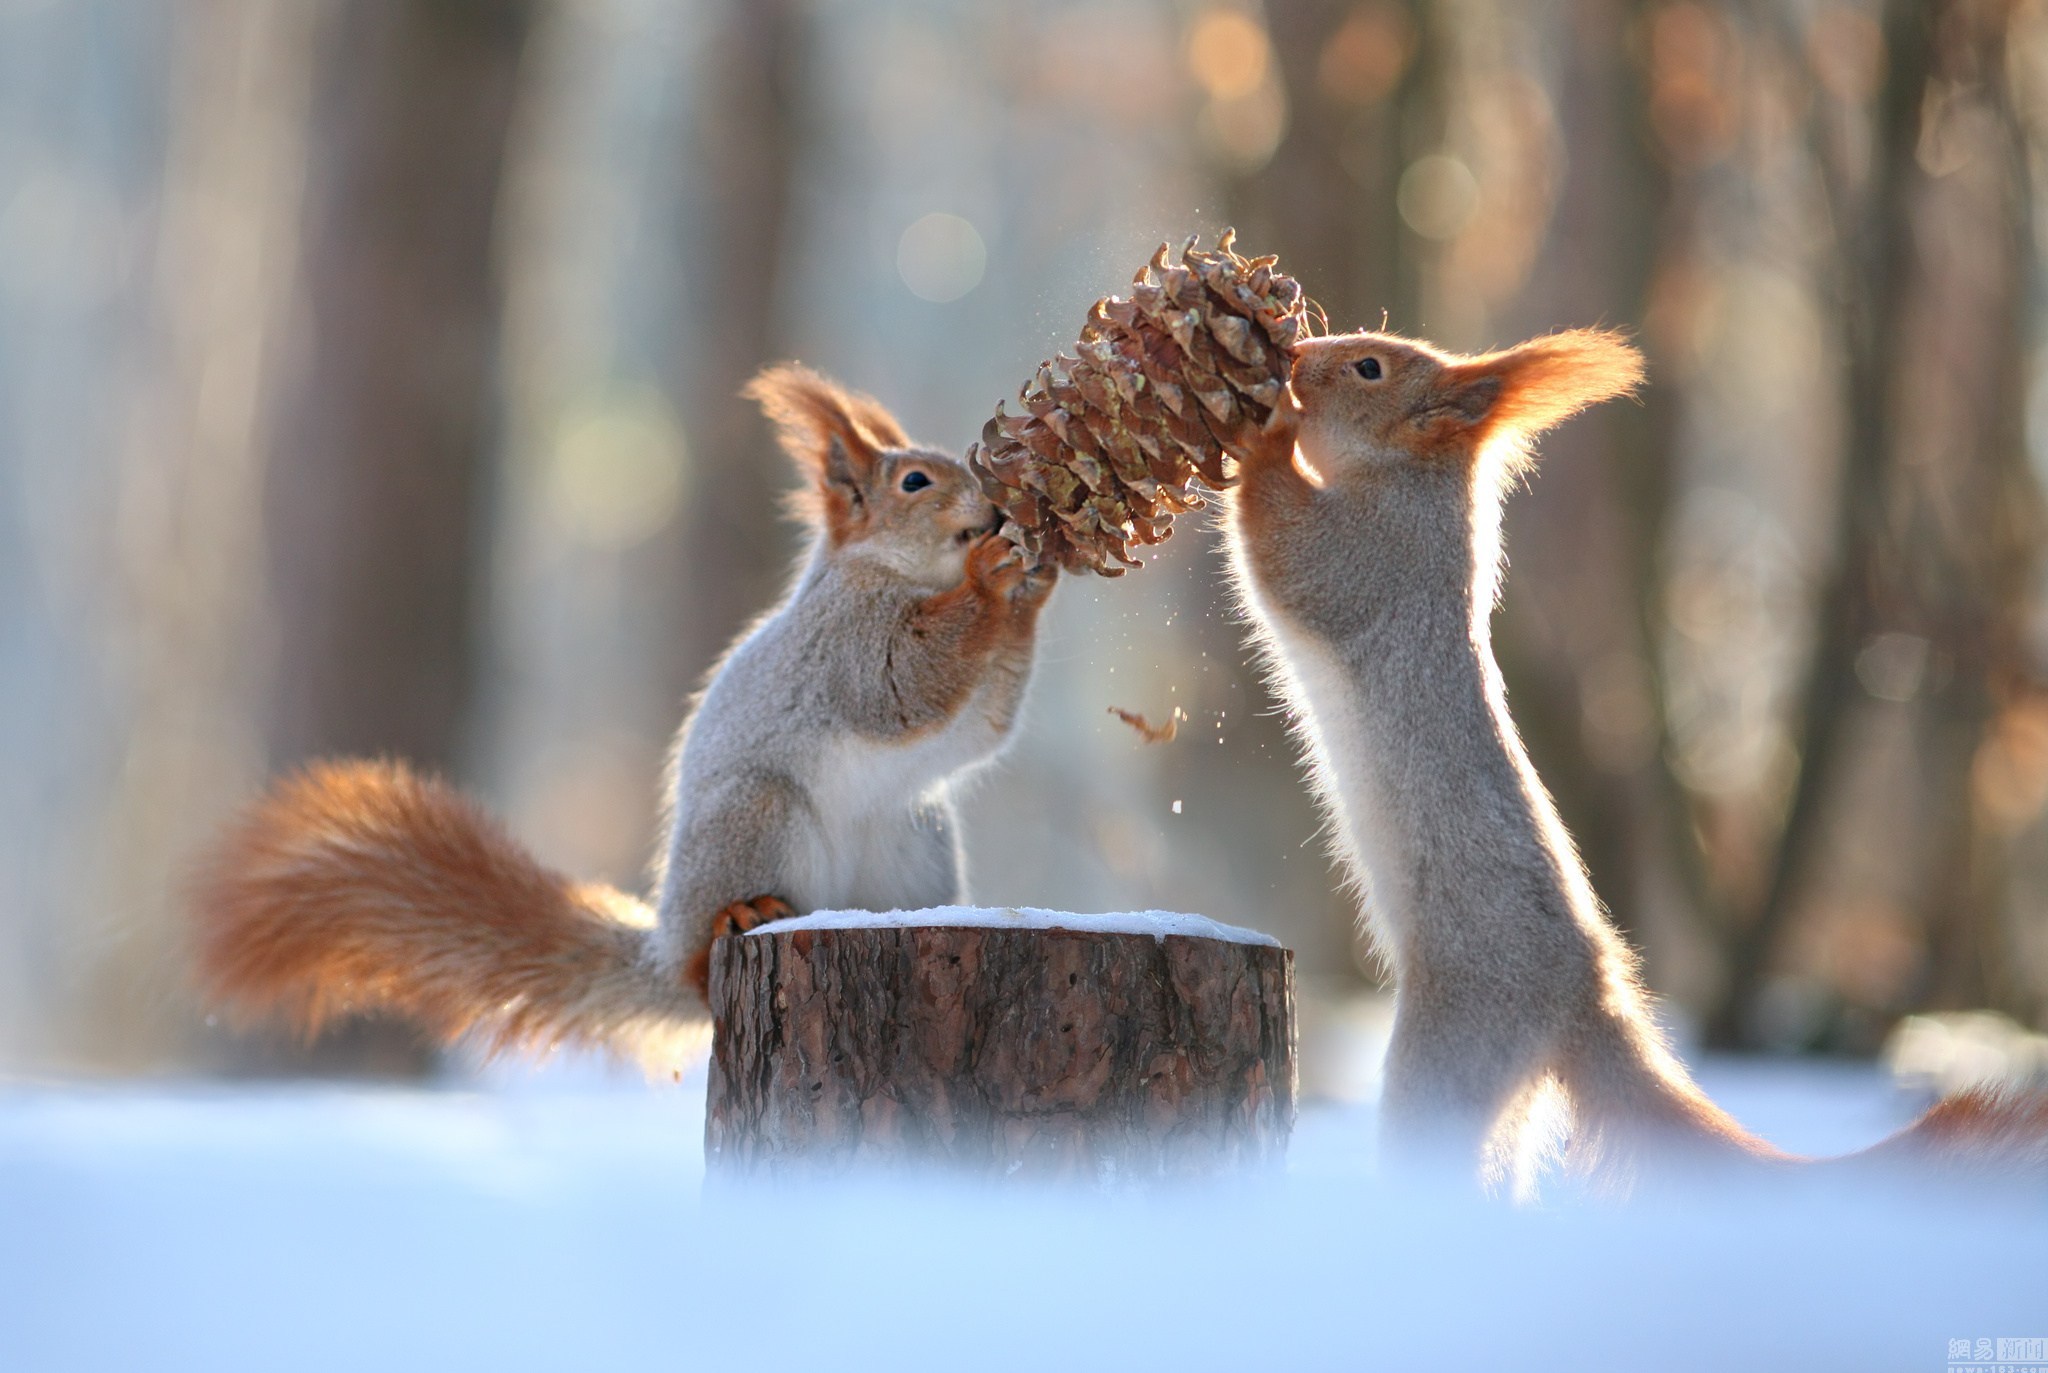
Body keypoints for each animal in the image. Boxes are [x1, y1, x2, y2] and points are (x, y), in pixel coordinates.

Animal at [188, 368, 1056, 1073]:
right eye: (915, 480)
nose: (994, 509)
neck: (896, 576)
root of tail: (664, 942)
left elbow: (982, 727)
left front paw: (1033, 582)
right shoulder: (843, 644)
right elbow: (902, 686)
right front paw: (992, 574)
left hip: (915, 840)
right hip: (754, 814)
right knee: (703, 968)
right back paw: (735, 920)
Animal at [1212, 329, 2048, 1196]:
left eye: (1369, 368)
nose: (1297, 352)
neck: (1416, 486)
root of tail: (1586, 996)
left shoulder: (1369, 565)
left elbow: (1288, 553)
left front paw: (1266, 432)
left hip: (1455, 1047)